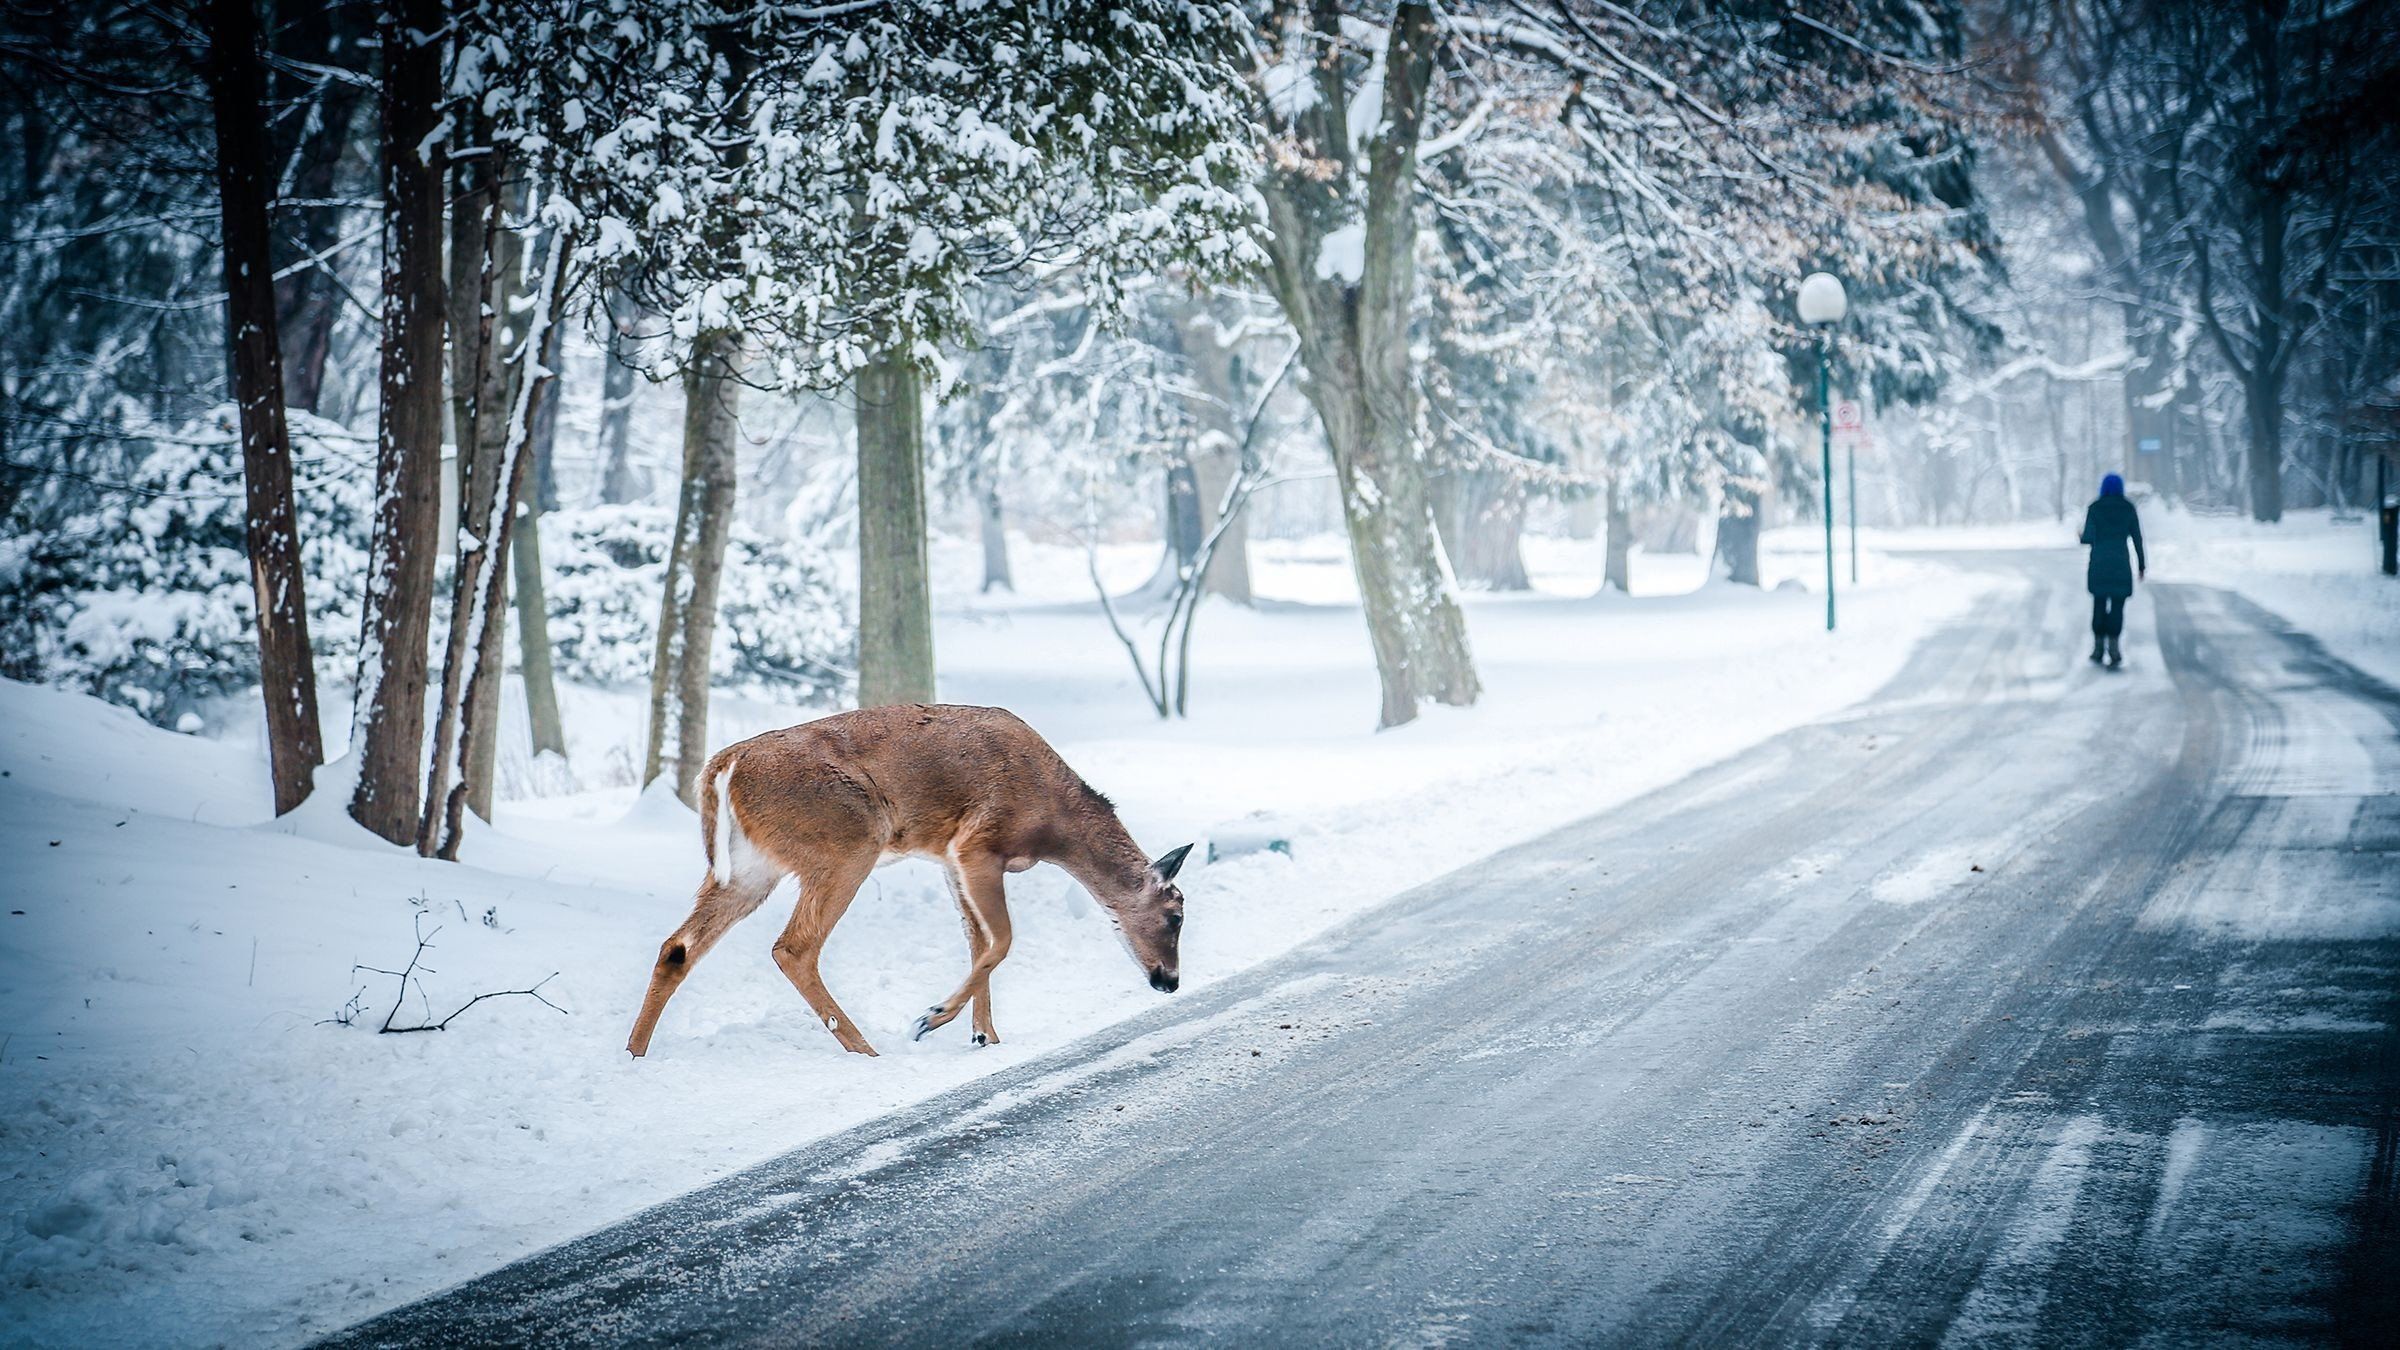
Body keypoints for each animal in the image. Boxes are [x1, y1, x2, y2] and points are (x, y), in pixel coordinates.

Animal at [624, 696, 1195, 1056]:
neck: (1054, 823)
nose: (1169, 981)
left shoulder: (948, 858)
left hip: (749, 867)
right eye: (1176, 915)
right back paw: (866, 1048)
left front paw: (985, 1036)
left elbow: (978, 941)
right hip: (847, 841)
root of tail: (723, 767)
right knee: (793, 947)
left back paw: (635, 1053)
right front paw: (932, 1018)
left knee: (678, 947)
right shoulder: (977, 842)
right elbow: (1003, 939)